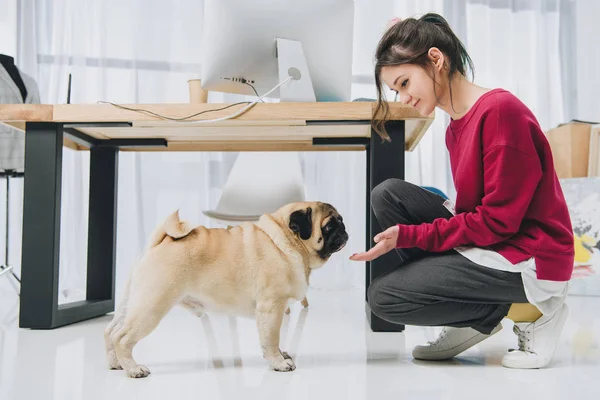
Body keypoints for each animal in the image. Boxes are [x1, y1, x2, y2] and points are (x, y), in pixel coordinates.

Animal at [103, 202, 346, 376]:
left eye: (340, 221)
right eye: (329, 226)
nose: (344, 229)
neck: (286, 242)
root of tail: (159, 243)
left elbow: (273, 341)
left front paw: (282, 356)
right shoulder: (272, 309)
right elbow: (271, 339)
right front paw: (278, 363)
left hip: (132, 302)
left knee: (110, 332)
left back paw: (116, 364)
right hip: (151, 306)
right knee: (122, 337)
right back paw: (133, 369)